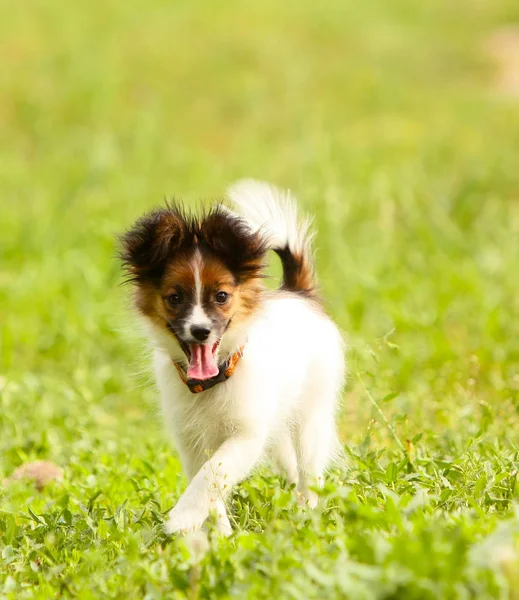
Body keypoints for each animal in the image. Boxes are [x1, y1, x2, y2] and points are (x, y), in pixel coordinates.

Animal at [118, 178, 346, 536]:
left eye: (221, 296)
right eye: (174, 298)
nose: (200, 331)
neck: (211, 382)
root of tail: (298, 294)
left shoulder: (246, 435)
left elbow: (212, 474)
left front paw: (182, 517)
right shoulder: (192, 442)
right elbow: (207, 481)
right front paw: (220, 534)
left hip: (311, 417)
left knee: (310, 472)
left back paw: (305, 512)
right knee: (290, 464)